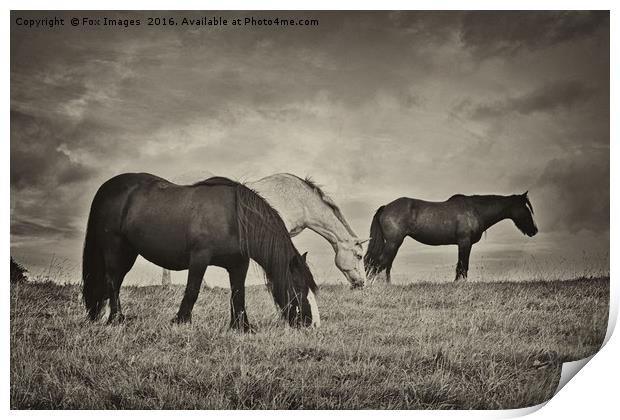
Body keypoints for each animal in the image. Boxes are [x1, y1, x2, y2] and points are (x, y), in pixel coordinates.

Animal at [81, 172, 320, 330]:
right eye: (298, 288)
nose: (311, 323)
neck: (234, 218)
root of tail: (106, 188)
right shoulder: (199, 259)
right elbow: (192, 290)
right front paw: (181, 321)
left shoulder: (238, 264)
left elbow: (238, 294)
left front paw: (240, 327)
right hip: (114, 247)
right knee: (113, 281)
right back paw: (116, 319)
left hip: (129, 252)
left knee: (115, 282)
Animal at [364, 193, 536, 282]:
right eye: (525, 208)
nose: (534, 230)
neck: (475, 210)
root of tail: (386, 207)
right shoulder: (464, 242)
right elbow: (462, 265)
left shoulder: (464, 244)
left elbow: (462, 265)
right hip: (394, 242)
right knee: (380, 263)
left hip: (392, 243)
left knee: (385, 264)